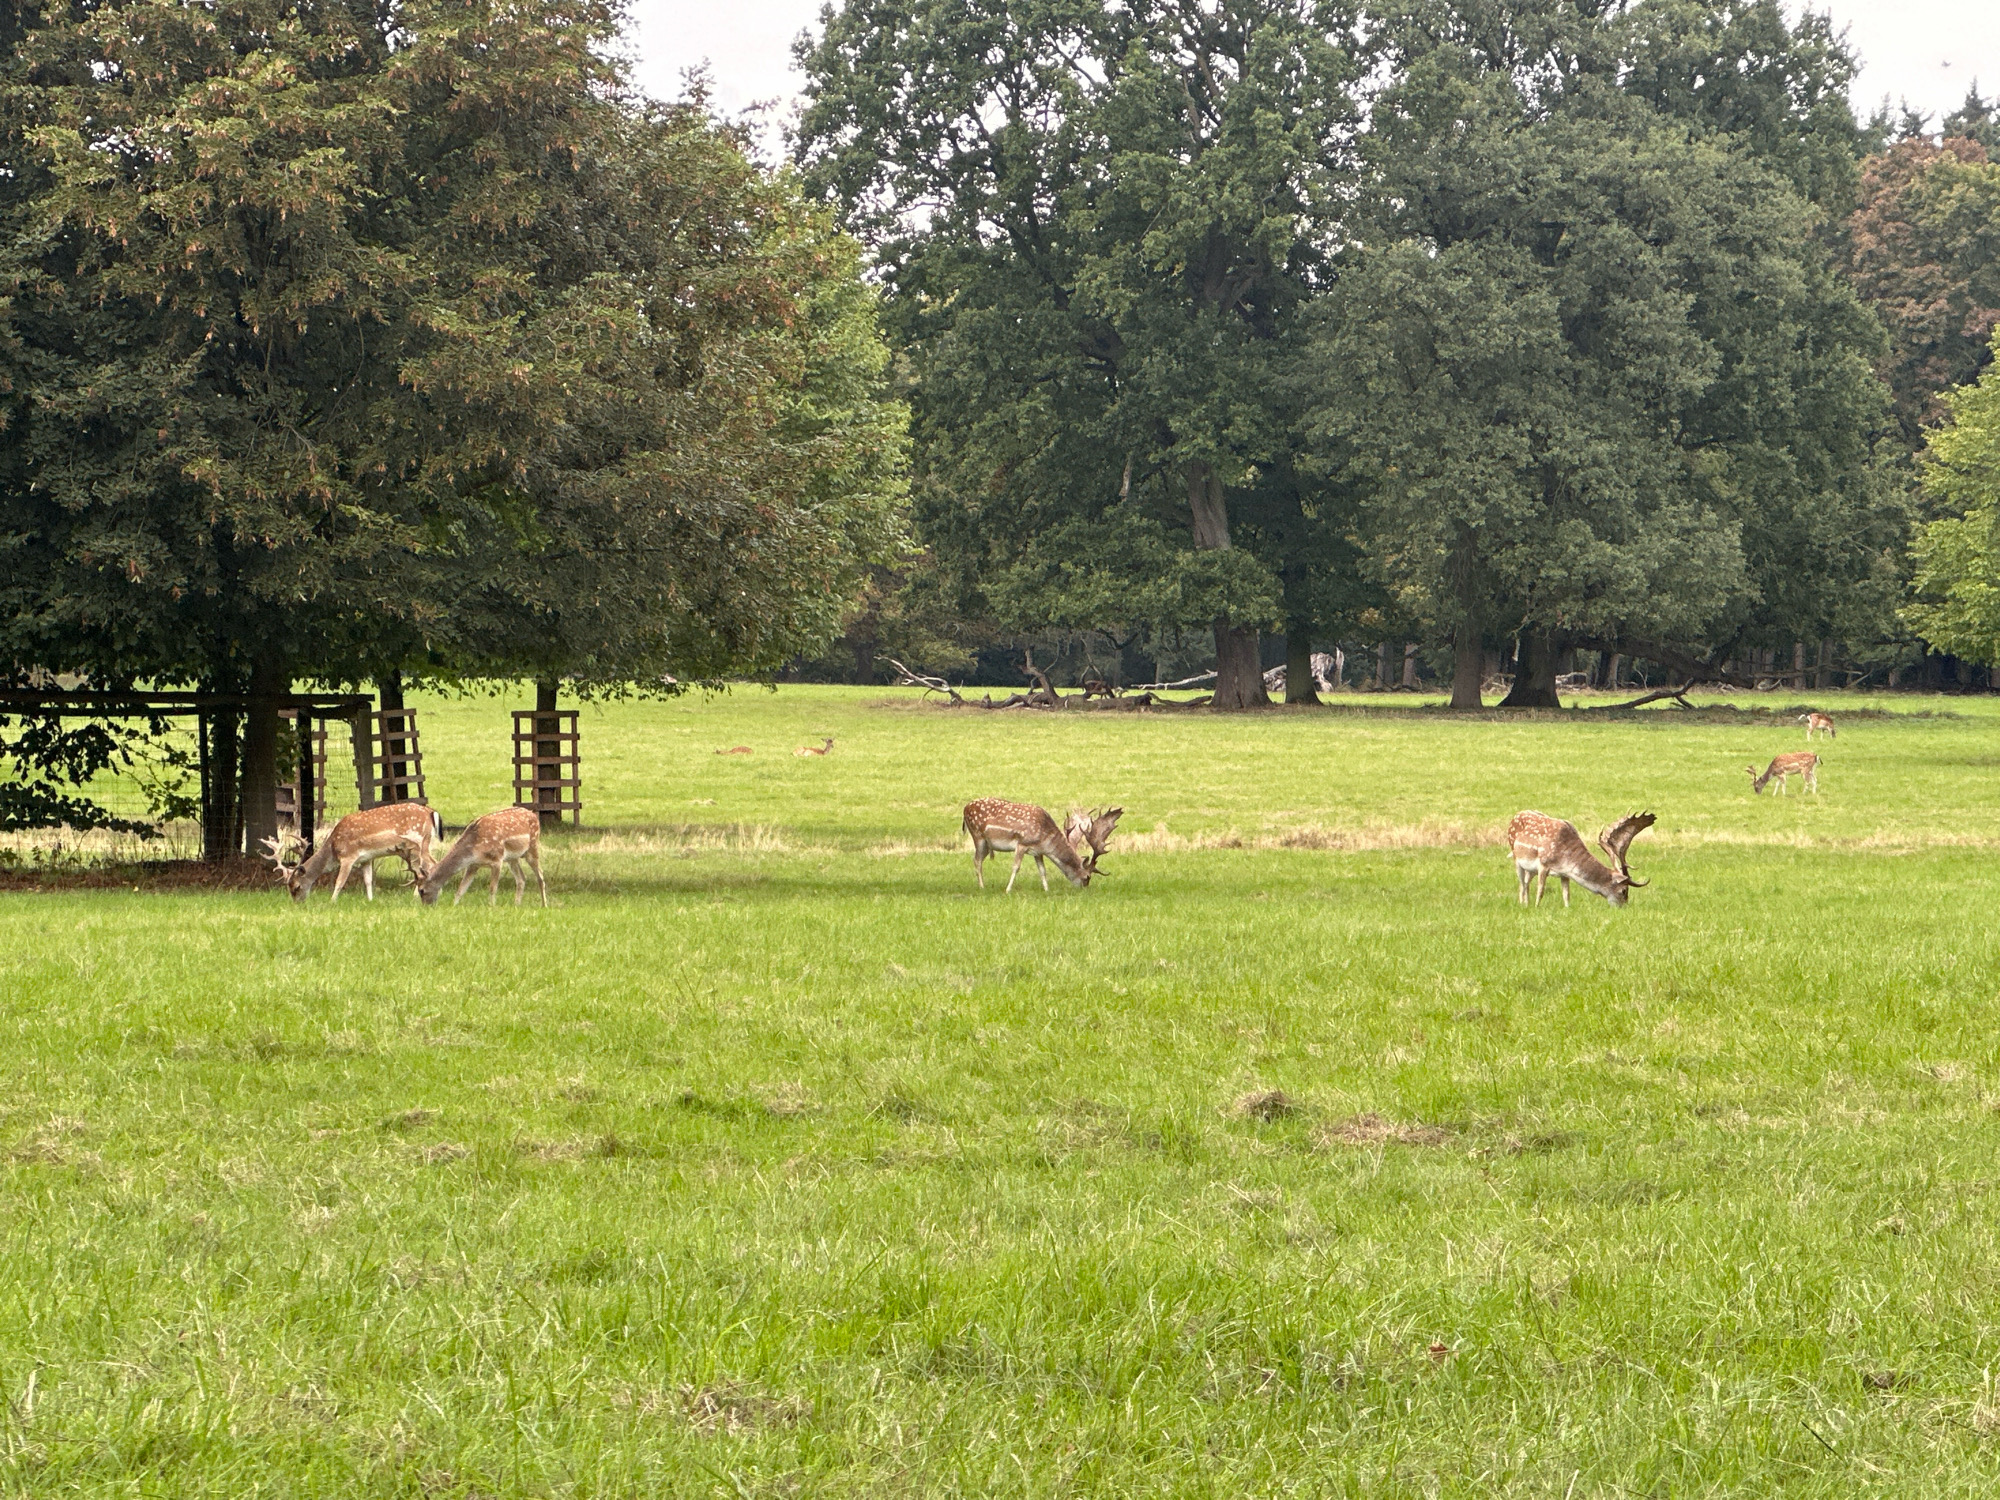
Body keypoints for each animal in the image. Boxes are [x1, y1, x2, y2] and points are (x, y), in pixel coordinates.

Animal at [261, 802, 442, 902]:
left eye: (297, 886)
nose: (298, 903)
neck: (333, 847)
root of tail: (431, 812)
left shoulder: (348, 856)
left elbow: (339, 881)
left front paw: (332, 902)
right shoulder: (366, 859)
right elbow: (368, 880)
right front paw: (370, 900)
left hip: (419, 843)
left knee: (430, 864)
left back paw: (418, 895)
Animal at [418, 805, 547, 907]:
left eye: (421, 890)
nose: (426, 906)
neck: (475, 848)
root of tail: (534, 815)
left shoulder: (497, 859)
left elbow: (492, 888)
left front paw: (491, 907)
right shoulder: (473, 865)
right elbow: (461, 888)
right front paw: (453, 906)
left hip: (532, 847)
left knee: (540, 875)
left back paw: (544, 905)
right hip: (512, 858)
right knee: (521, 878)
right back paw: (516, 905)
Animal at [963, 798, 1122, 892]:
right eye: (1087, 877)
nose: (1084, 889)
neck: (1045, 839)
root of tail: (965, 809)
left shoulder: (1038, 851)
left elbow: (1042, 870)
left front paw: (1047, 889)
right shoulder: (1022, 843)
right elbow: (1016, 867)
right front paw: (1008, 890)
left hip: (986, 844)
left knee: (977, 860)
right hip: (978, 836)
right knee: (976, 860)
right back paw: (982, 887)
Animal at [1507, 810, 1654, 908]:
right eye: (1623, 891)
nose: (1624, 907)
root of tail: (1515, 815)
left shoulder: (1564, 873)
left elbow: (1566, 894)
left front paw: (1567, 909)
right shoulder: (1543, 863)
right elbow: (1541, 890)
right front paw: (1537, 907)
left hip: (1530, 868)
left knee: (1526, 881)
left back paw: (1526, 903)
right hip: (1516, 857)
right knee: (1522, 882)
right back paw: (1523, 904)